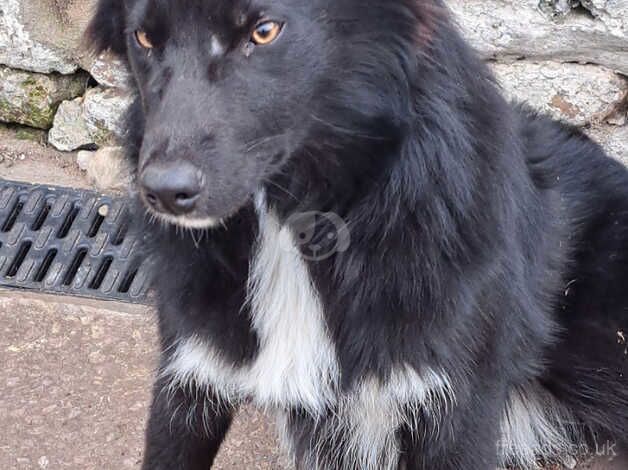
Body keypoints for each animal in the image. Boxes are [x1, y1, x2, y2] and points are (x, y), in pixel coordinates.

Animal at [87, 0, 628, 470]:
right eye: (144, 38)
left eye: (264, 31)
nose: (162, 191)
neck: (291, 221)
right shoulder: (189, 371)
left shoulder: (458, 405)